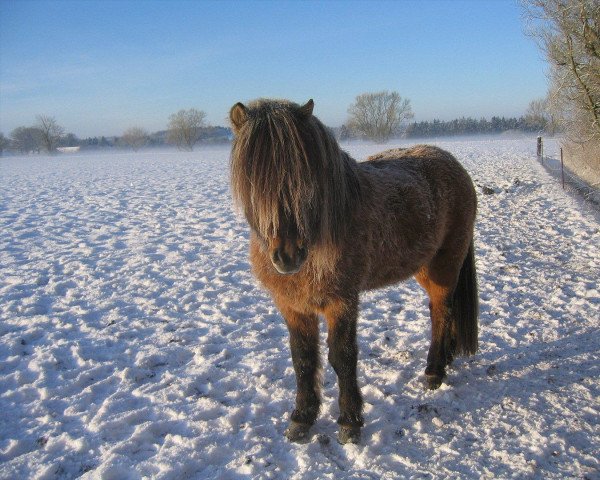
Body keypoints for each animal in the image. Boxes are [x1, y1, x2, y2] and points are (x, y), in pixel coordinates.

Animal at [230, 98, 478, 446]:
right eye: (252, 181)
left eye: (306, 178)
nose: (288, 256)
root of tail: (453, 164)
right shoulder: (293, 306)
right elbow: (302, 358)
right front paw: (302, 418)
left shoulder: (342, 302)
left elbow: (342, 357)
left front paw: (349, 421)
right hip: (425, 268)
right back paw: (445, 359)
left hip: (444, 265)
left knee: (442, 312)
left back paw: (434, 371)